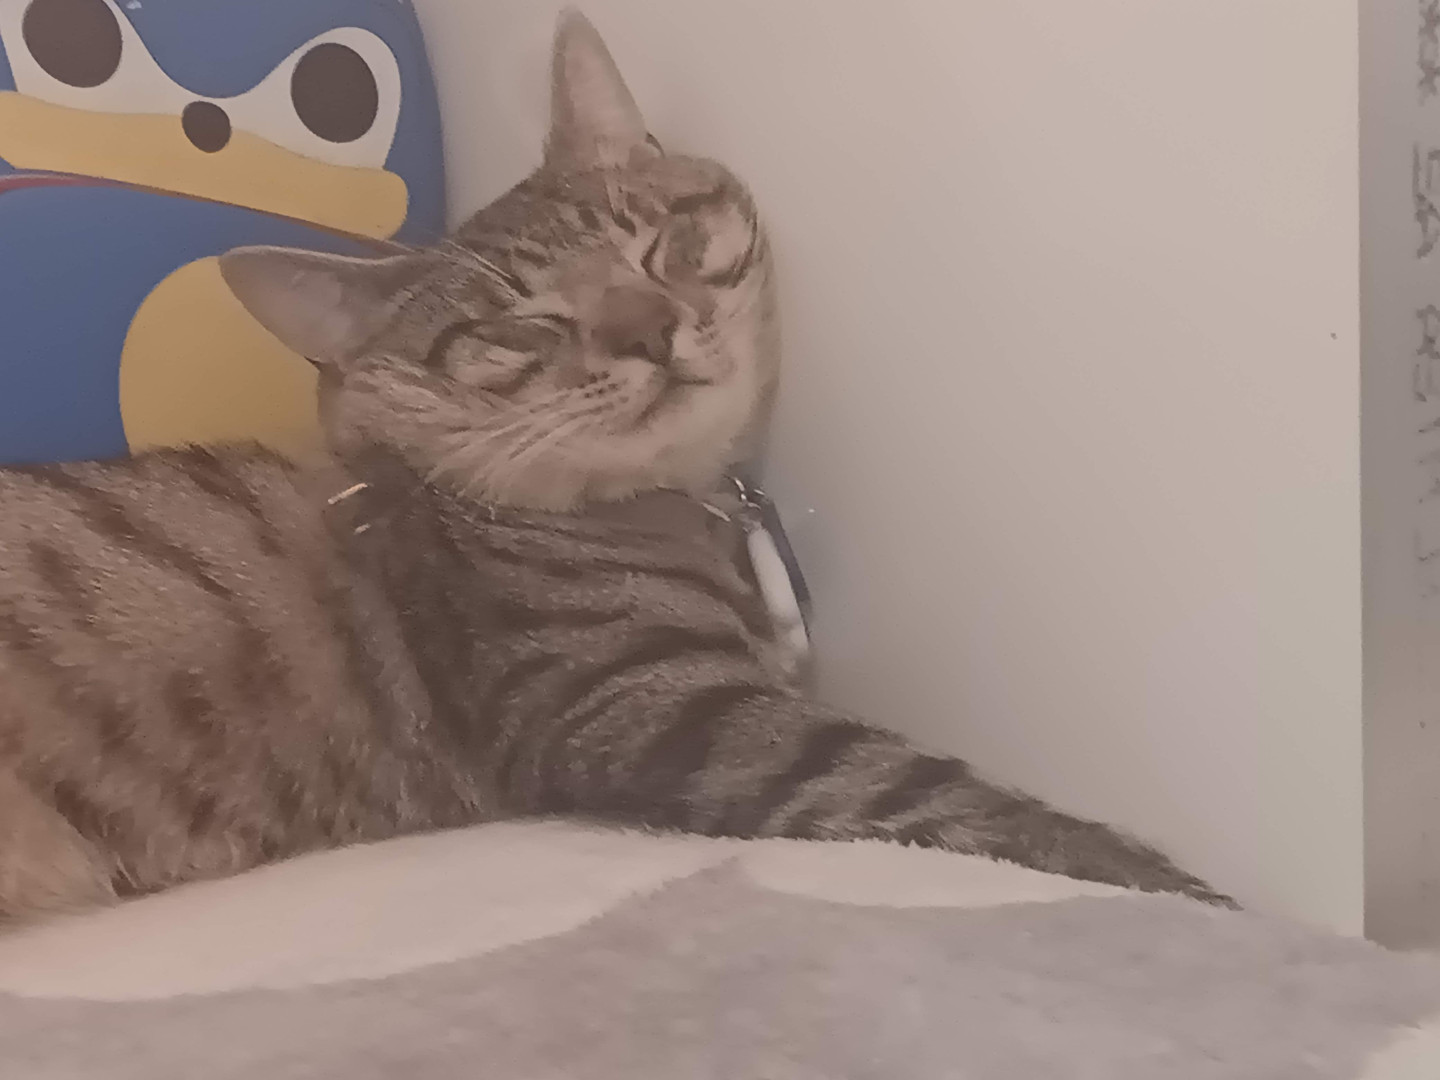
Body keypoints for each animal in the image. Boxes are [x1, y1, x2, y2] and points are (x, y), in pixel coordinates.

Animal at [0, 10, 1230, 921]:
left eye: (658, 243)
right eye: (523, 326)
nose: (652, 330)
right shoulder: (652, 703)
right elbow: (931, 789)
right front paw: (1179, 889)